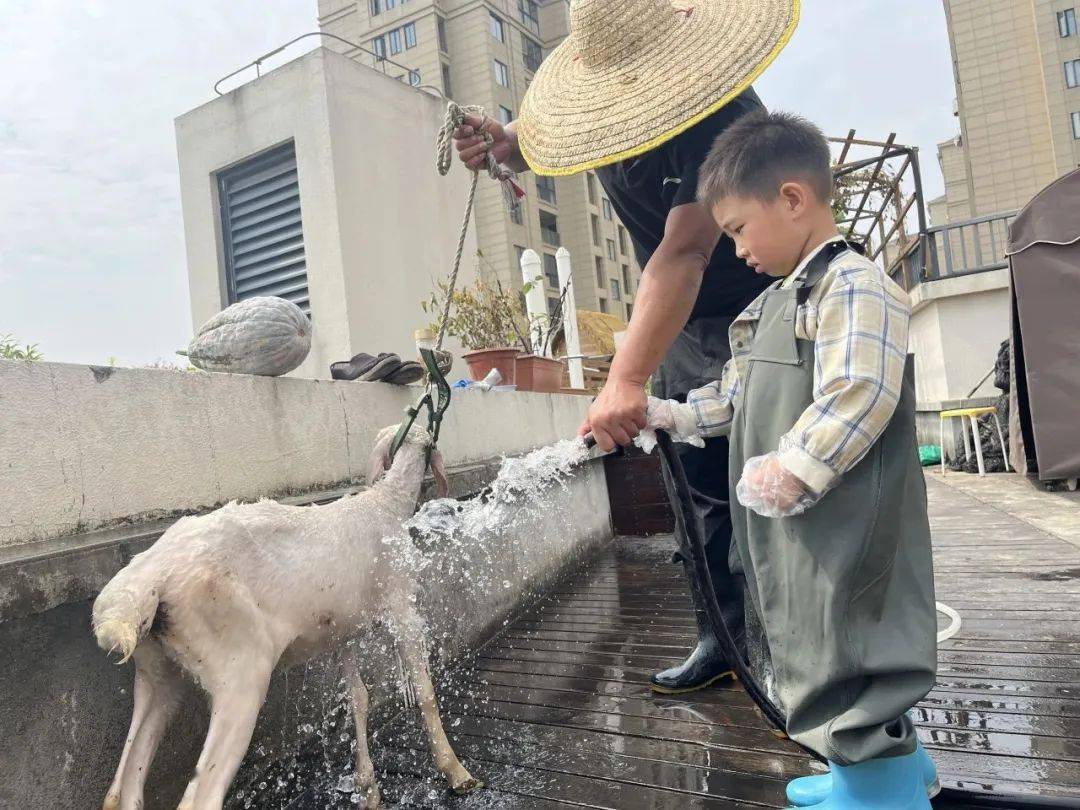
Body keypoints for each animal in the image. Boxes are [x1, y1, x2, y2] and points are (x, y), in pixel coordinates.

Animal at [92, 425, 481, 810]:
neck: (386, 503)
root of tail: (148, 579)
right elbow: (425, 689)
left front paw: (368, 788)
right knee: (201, 797)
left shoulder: (342, 630)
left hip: (157, 670)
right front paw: (456, 772)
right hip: (240, 667)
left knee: (120, 789)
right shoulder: (402, 605)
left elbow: (358, 697)